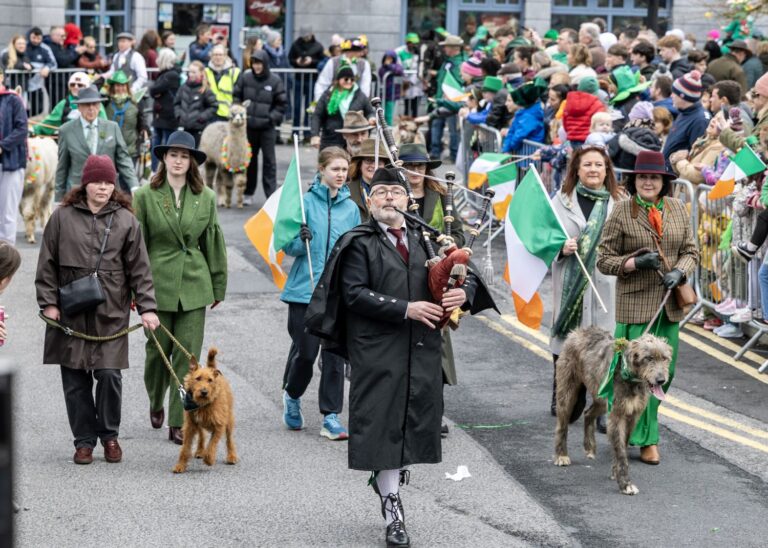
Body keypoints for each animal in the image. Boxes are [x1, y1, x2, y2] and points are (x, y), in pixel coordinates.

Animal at [553, 326, 671, 495]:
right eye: (648, 358)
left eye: (665, 358)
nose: (661, 380)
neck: (629, 376)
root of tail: (579, 330)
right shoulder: (617, 415)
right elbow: (620, 450)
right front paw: (625, 483)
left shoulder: (632, 416)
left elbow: (624, 444)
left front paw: (615, 471)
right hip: (567, 389)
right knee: (562, 424)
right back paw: (561, 455)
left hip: (601, 398)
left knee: (588, 414)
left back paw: (589, 446)